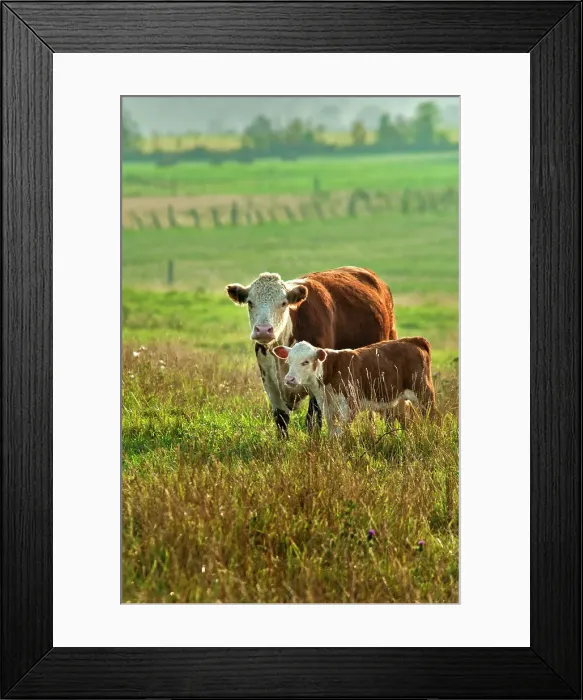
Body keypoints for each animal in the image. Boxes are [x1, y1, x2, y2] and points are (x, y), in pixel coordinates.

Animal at [225, 266, 397, 436]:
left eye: (283, 303)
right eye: (250, 302)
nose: (263, 330)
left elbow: (313, 421)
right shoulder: (269, 382)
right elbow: (281, 420)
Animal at [272, 337, 436, 436]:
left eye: (305, 362)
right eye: (289, 361)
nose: (289, 379)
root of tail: (413, 340)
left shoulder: (351, 405)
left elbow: (340, 432)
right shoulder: (328, 408)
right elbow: (332, 432)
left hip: (423, 393)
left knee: (434, 417)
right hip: (400, 399)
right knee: (405, 421)